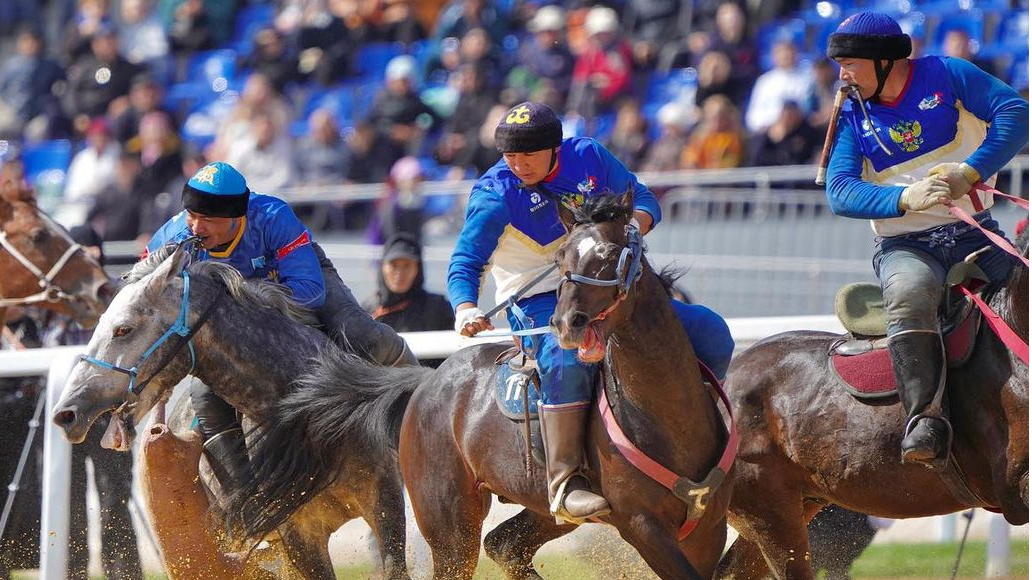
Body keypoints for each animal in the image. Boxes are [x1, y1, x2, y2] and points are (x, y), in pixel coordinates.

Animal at [230, 190, 738, 577]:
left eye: (611, 256)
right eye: (561, 256)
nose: (565, 323)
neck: (665, 415)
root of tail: (426, 383)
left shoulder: (707, 528)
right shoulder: (642, 526)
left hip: (536, 511)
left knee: (506, 545)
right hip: (451, 527)